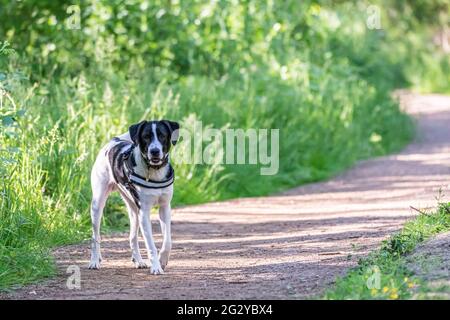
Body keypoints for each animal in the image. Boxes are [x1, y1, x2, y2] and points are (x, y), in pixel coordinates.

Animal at [88, 120, 179, 276]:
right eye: (146, 136)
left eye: (162, 135)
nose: (154, 151)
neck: (154, 170)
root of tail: (113, 141)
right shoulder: (145, 213)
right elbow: (151, 245)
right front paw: (156, 267)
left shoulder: (165, 207)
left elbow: (167, 241)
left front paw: (162, 260)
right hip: (97, 204)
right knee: (96, 236)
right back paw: (94, 261)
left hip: (134, 212)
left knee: (133, 237)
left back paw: (138, 260)